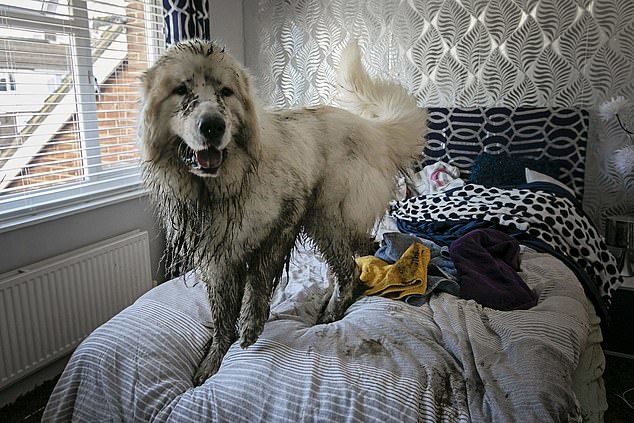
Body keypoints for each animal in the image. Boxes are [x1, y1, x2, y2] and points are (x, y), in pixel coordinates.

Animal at [138, 39, 424, 384]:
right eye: (181, 89)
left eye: (226, 92)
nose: (213, 126)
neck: (223, 186)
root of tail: (373, 128)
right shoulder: (217, 256)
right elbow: (221, 314)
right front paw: (215, 358)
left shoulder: (287, 217)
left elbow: (259, 279)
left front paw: (250, 324)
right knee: (362, 251)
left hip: (323, 213)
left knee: (351, 266)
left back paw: (333, 311)